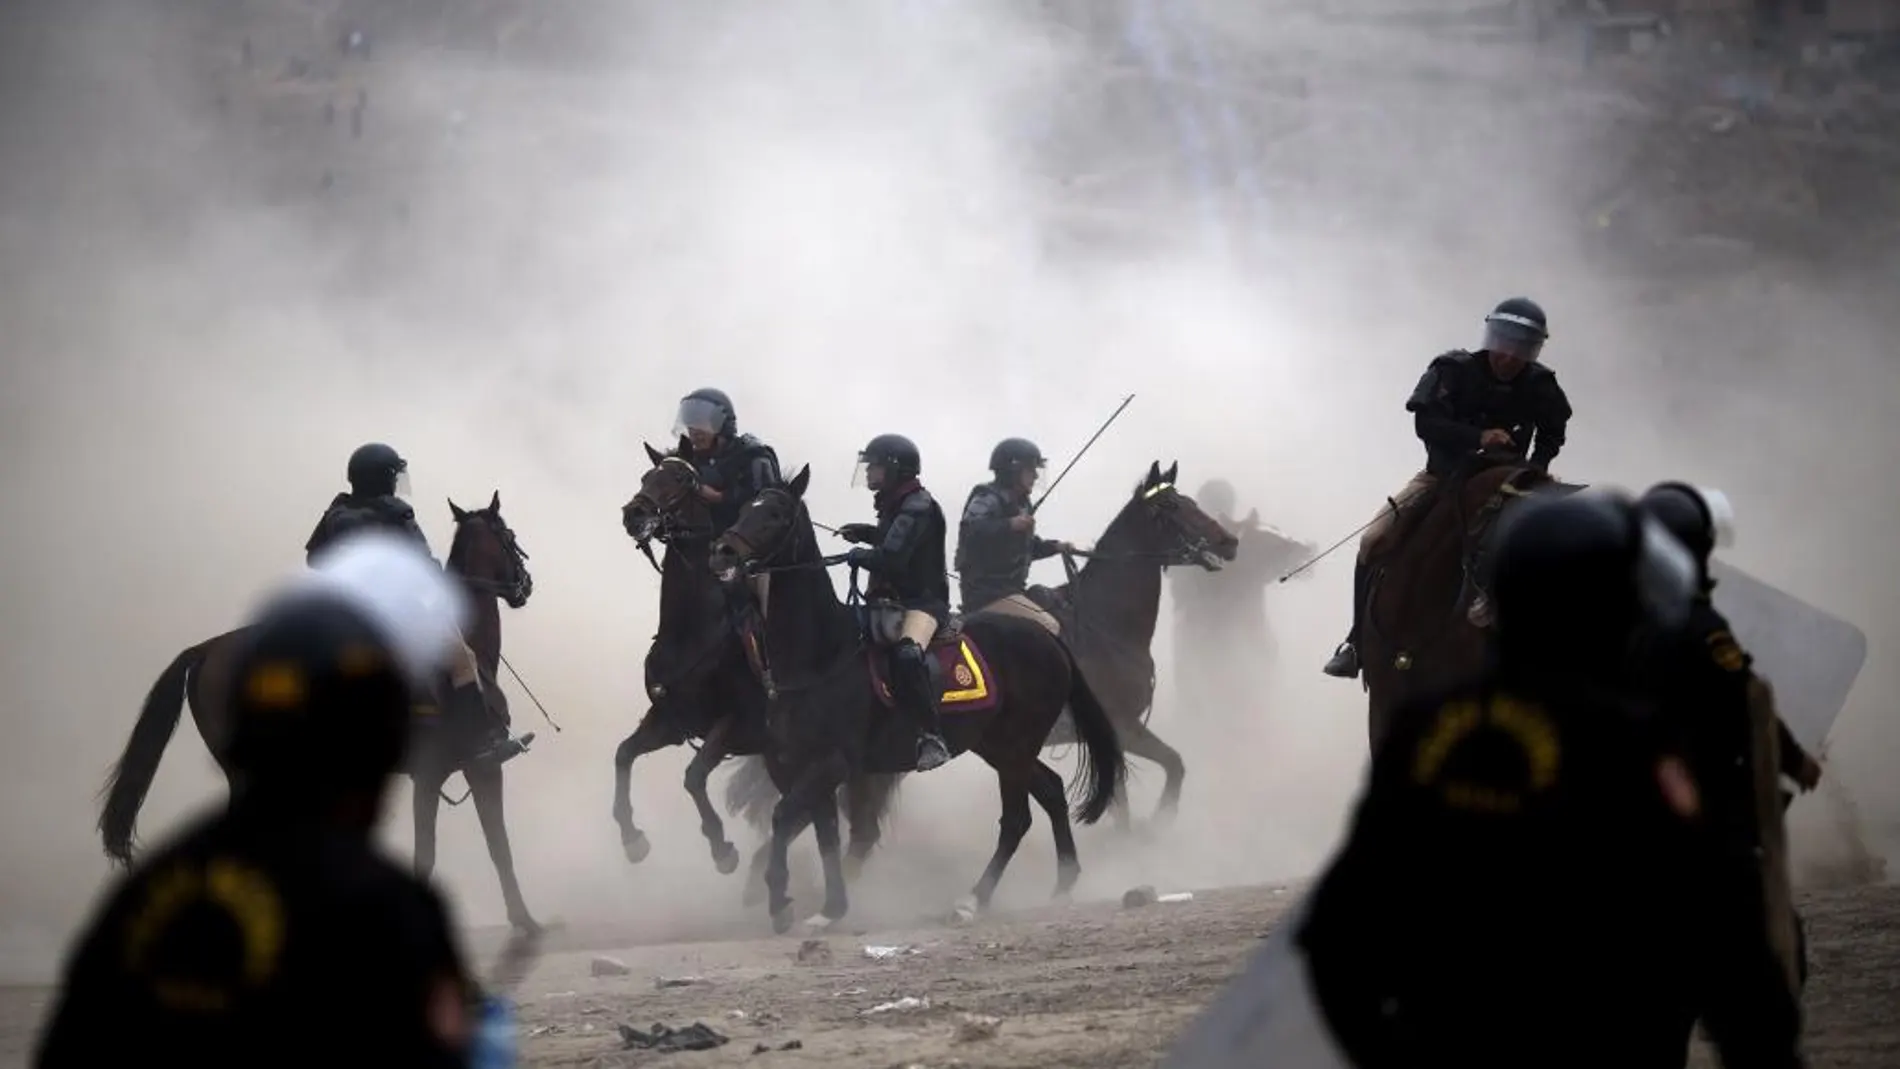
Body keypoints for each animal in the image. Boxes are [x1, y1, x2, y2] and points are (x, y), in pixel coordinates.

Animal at [97, 497, 543, 934]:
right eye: (509, 535)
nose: (526, 584)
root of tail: (208, 648)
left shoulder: (435, 775)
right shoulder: (471, 767)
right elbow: (488, 847)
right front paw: (526, 920)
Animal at [611, 438, 900, 892]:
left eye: (680, 479)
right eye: (646, 476)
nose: (635, 513)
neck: (695, 631)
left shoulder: (735, 725)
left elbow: (694, 776)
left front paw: (721, 849)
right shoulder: (671, 721)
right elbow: (624, 755)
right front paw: (633, 839)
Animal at [714, 470, 1124, 937]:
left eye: (776, 513)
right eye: (745, 508)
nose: (723, 550)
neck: (821, 656)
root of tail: (1048, 639)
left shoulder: (832, 763)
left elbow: (785, 819)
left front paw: (781, 901)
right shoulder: (799, 767)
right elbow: (823, 834)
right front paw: (830, 909)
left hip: (1016, 746)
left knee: (1017, 819)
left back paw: (972, 900)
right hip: (999, 746)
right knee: (1051, 791)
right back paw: (1064, 882)